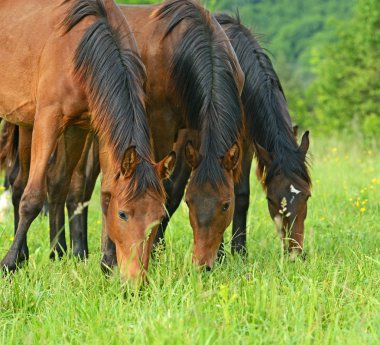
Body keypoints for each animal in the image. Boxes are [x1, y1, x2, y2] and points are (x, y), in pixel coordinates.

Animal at [0, 0, 174, 282]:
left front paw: (106, 263)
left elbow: (102, 193)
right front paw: (9, 263)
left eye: (159, 217)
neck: (79, 49)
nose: (136, 281)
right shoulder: (48, 119)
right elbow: (33, 197)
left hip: (31, 124)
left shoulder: (89, 128)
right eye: (123, 214)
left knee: (27, 184)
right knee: (21, 187)